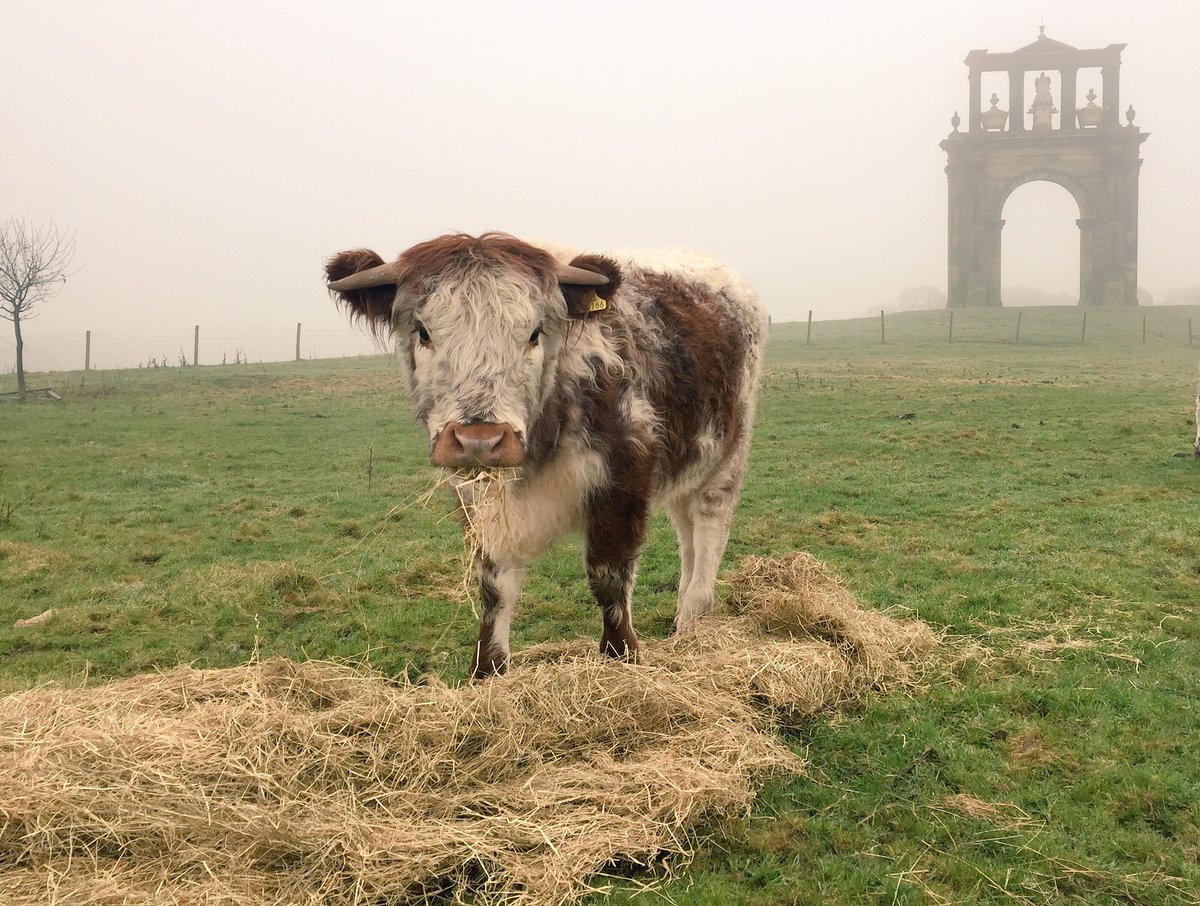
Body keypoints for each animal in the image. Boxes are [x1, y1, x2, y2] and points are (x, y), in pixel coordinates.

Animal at [326, 233, 766, 679]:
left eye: (535, 333)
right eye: (423, 332)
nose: (480, 439)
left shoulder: (621, 481)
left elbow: (609, 578)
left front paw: (621, 658)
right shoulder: (478, 498)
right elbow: (494, 587)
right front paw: (487, 670)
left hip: (726, 456)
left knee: (709, 528)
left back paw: (697, 615)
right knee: (686, 534)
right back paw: (685, 624)